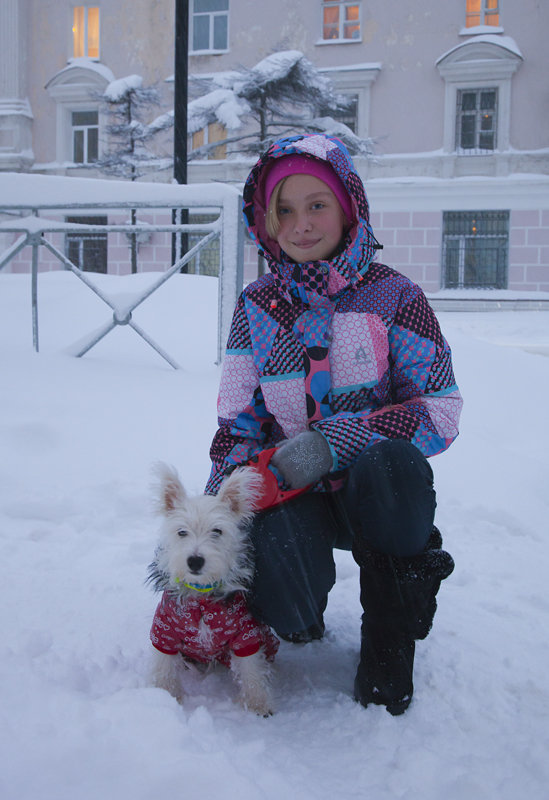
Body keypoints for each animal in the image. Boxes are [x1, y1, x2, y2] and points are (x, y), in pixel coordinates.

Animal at [147, 462, 278, 720]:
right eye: (181, 532)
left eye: (217, 531)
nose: (195, 561)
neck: (201, 594)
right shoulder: (164, 630)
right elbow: (164, 665)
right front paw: (163, 698)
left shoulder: (246, 633)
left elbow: (252, 669)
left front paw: (258, 703)